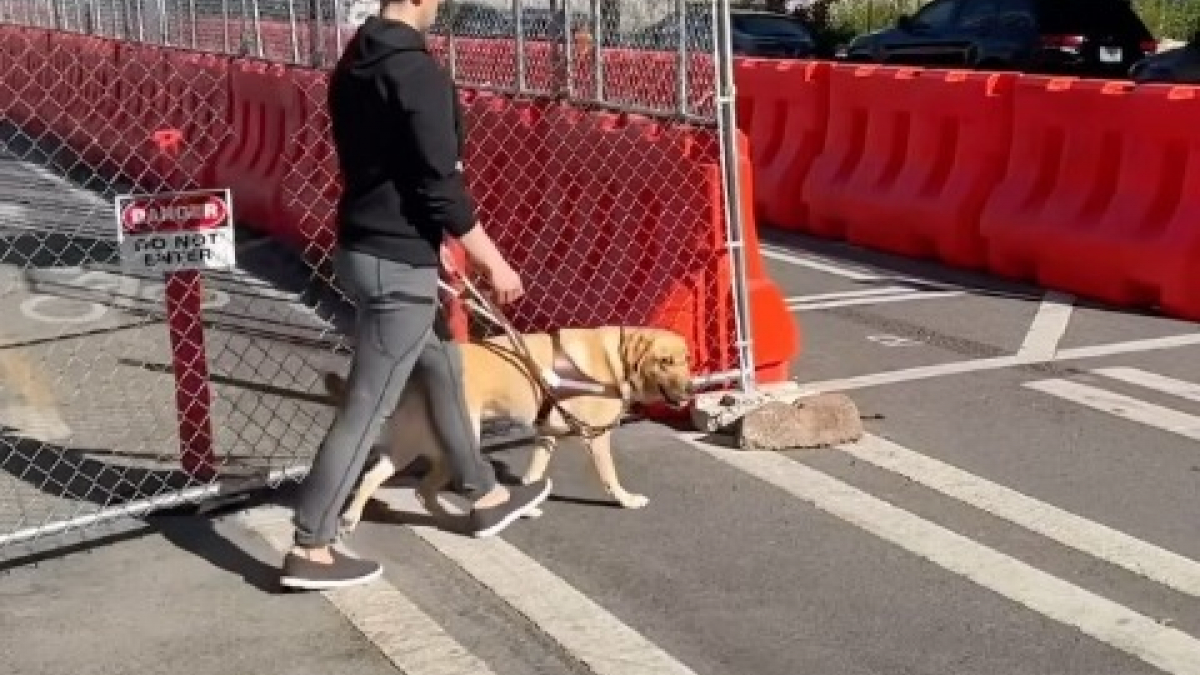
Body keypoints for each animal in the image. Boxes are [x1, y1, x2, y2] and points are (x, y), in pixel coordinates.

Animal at [336, 321, 696, 530]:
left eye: (687, 360)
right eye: (665, 362)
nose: (690, 392)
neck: (617, 360)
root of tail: (418, 373)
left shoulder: (546, 435)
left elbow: (534, 474)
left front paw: (527, 504)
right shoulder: (596, 436)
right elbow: (610, 476)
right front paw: (626, 500)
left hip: (418, 444)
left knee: (389, 481)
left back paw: (357, 517)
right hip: (457, 440)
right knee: (426, 488)